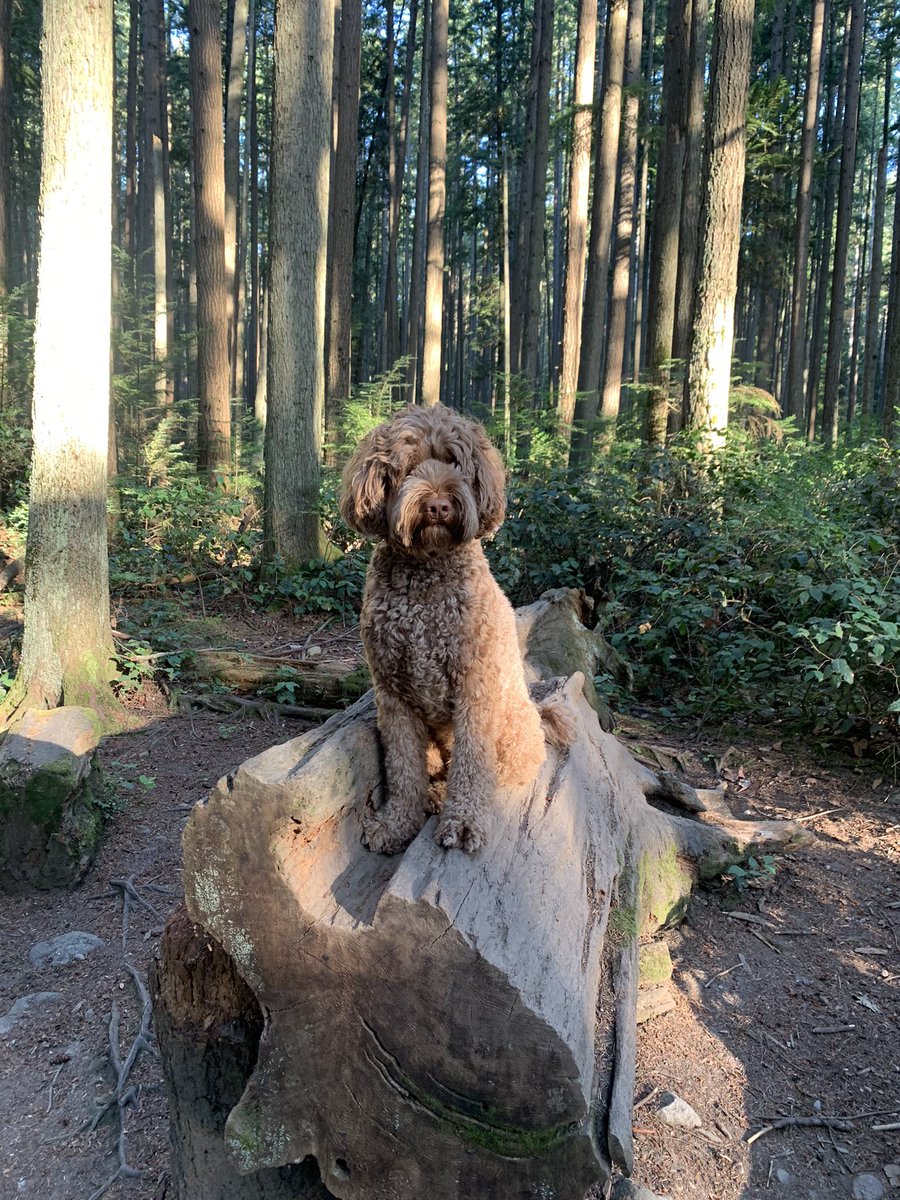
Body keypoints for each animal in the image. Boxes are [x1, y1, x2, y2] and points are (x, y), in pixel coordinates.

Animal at [338, 403, 571, 854]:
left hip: (510, 729)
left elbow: (471, 765)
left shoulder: (474, 686)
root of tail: (538, 717)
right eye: (407, 466)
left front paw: (463, 822)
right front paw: (397, 822)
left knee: (493, 773)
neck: (427, 573)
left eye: (456, 462)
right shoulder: (392, 693)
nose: (439, 507)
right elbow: (402, 767)